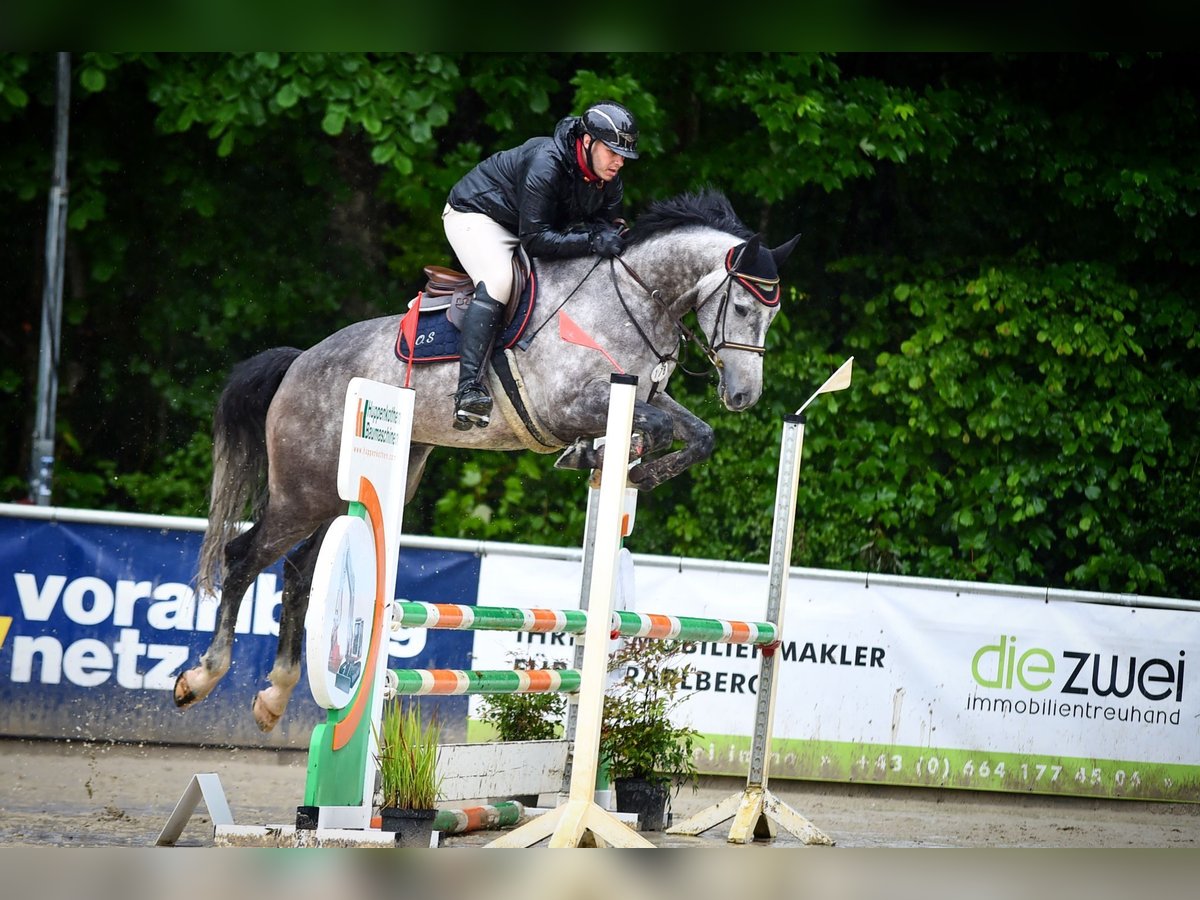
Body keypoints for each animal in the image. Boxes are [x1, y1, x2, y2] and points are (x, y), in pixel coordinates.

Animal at [174, 190, 796, 734]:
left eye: (772, 316)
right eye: (744, 306)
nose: (744, 396)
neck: (634, 297)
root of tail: (300, 361)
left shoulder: (645, 398)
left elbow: (698, 435)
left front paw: (623, 465)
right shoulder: (572, 404)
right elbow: (661, 428)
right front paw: (616, 461)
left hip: (352, 487)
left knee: (301, 571)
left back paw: (275, 696)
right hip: (305, 489)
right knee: (244, 557)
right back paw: (201, 678)